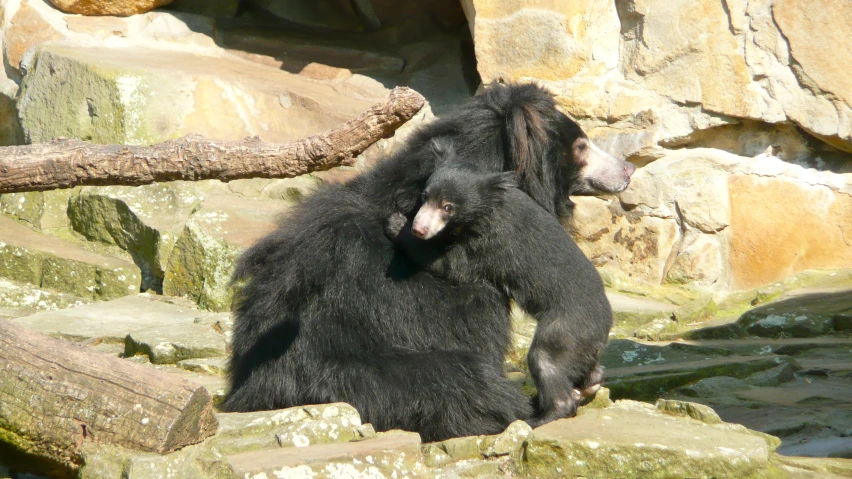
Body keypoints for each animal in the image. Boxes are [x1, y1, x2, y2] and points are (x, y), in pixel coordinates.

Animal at [384, 154, 612, 428]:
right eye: (425, 195)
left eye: (448, 207)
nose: (420, 228)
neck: (487, 205)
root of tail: (606, 326)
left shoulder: (488, 243)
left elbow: (453, 266)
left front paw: (396, 223)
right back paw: (589, 386)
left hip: (568, 327)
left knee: (546, 360)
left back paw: (540, 416)